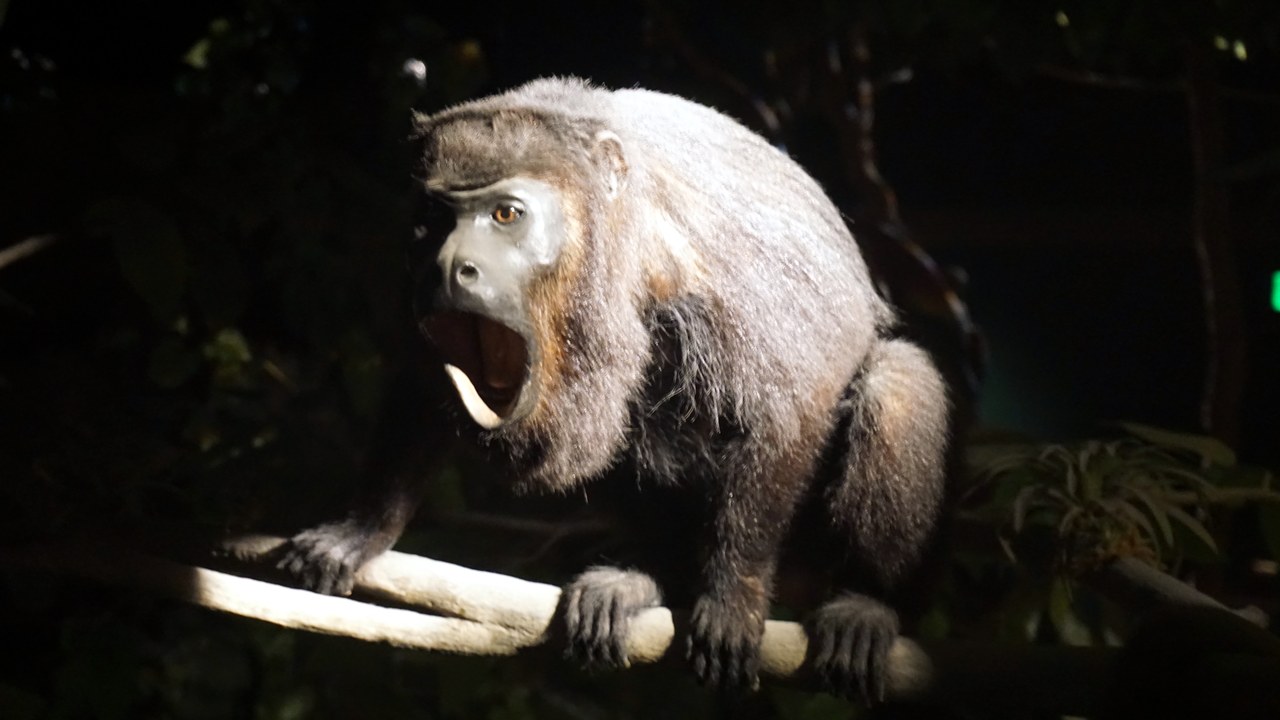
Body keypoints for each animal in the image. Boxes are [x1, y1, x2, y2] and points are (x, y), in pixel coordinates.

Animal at [278, 77, 951, 704]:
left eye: (506, 214)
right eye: (431, 222)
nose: (446, 265)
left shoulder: (688, 257)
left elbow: (788, 407)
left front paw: (736, 595)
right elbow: (421, 381)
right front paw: (359, 532)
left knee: (894, 382)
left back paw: (865, 603)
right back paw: (641, 574)